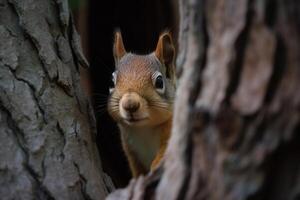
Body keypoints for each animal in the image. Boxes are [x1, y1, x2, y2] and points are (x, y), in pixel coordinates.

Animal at [107, 30, 176, 177]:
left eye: (160, 82)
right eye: (111, 81)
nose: (130, 104)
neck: (144, 129)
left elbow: (165, 152)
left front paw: (156, 165)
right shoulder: (131, 152)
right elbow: (138, 171)